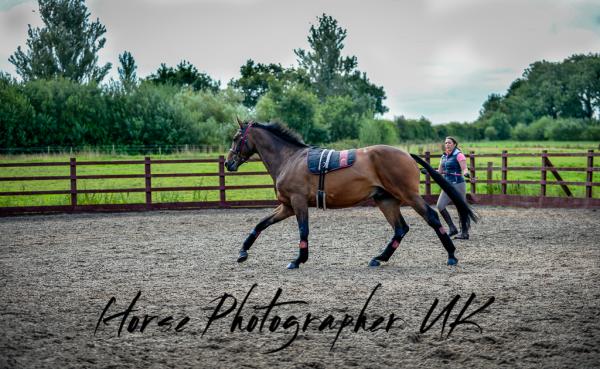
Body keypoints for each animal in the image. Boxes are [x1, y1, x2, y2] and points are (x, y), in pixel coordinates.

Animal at [225, 120, 478, 268]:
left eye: (237, 138)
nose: (228, 163)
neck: (290, 159)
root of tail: (407, 155)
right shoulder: (287, 206)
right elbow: (260, 224)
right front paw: (242, 252)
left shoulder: (298, 203)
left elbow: (303, 230)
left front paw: (298, 260)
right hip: (385, 200)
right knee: (400, 229)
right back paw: (380, 258)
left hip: (409, 196)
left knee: (432, 218)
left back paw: (451, 255)